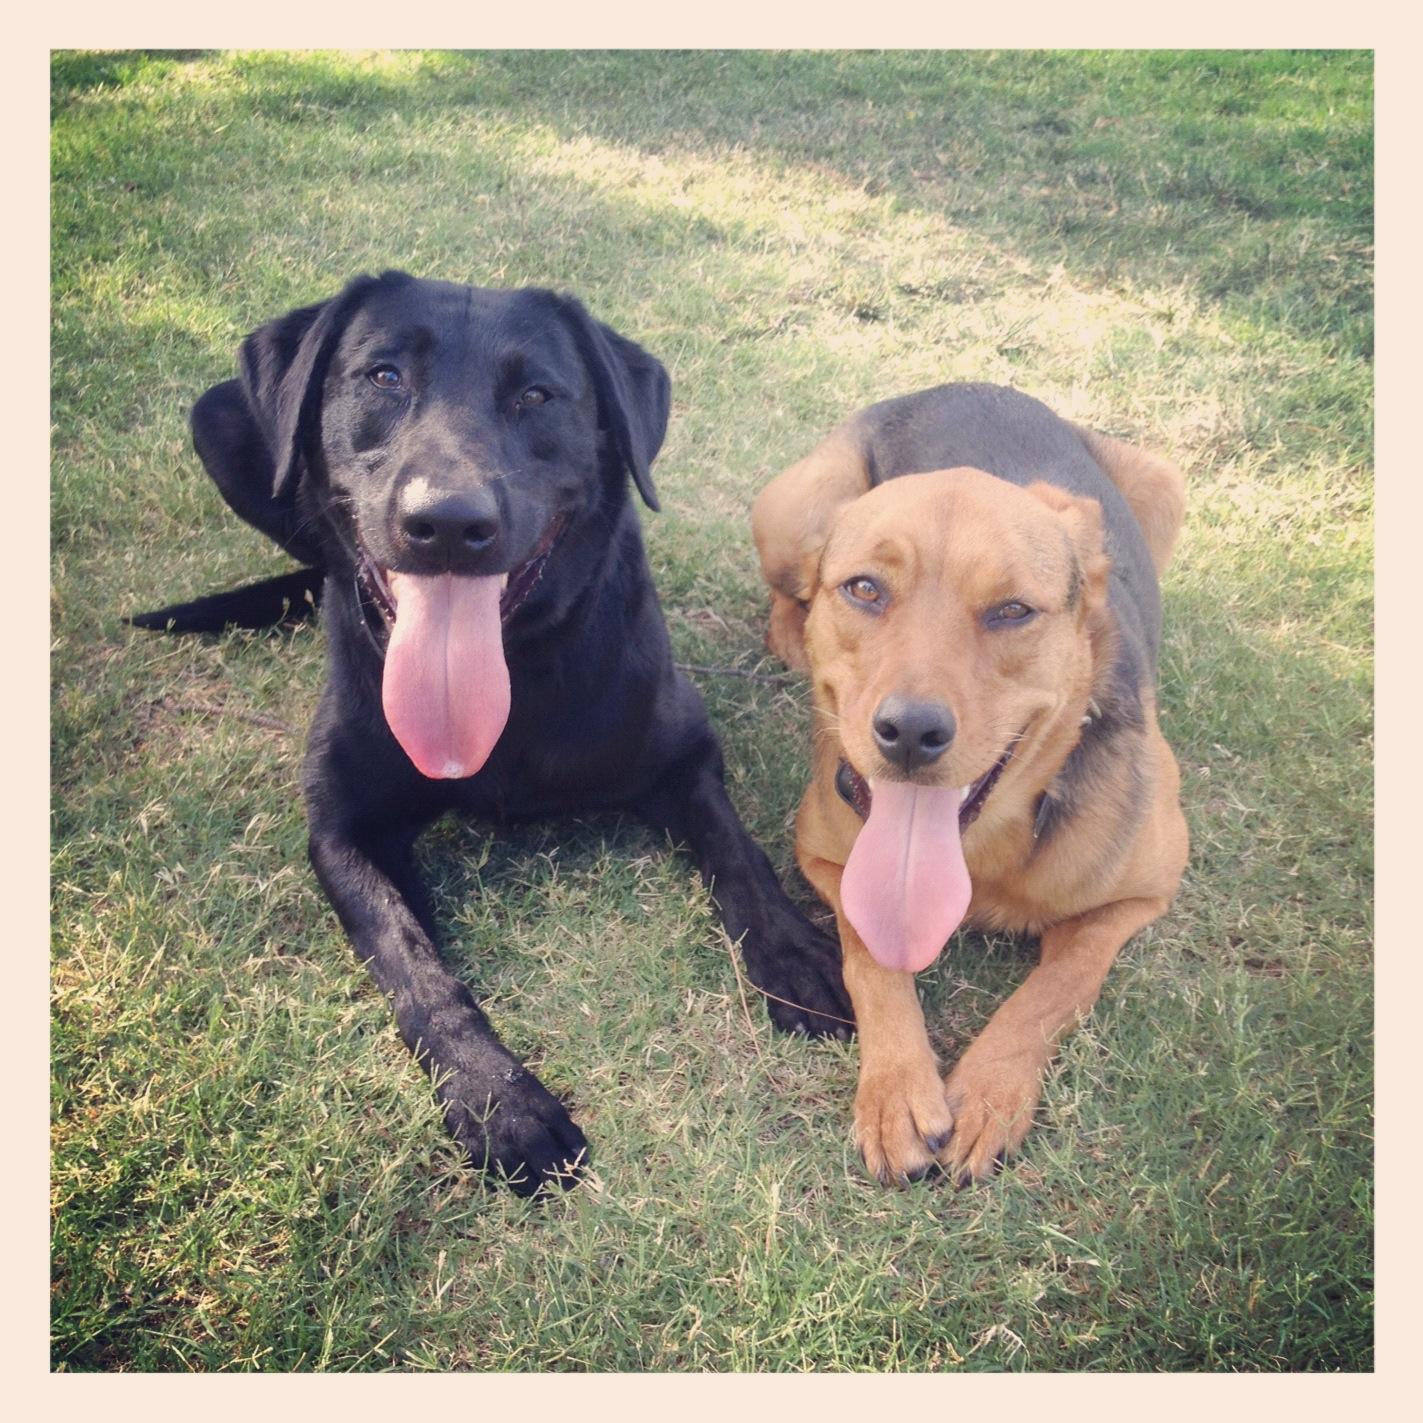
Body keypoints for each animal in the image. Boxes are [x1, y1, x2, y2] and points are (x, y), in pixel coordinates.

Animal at [135, 271, 842, 1195]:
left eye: (536, 394)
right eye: (384, 376)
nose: (446, 523)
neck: (508, 678)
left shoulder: (684, 751)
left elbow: (739, 854)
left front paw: (794, 952)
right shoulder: (340, 827)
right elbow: (413, 962)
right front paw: (498, 1098)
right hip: (216, 416)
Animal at [757, 384, 1189, 1183]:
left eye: (1012, 610)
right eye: (865, 589)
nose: (908, 732)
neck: (977, 851)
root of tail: (963, 385)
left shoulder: (1141, 896)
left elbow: (1056, 985)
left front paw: (990, 1092)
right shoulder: (825, 858)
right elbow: (869, 958)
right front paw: (896, 1087)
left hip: (1163, 486)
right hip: (789, 511)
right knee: (788, 589)